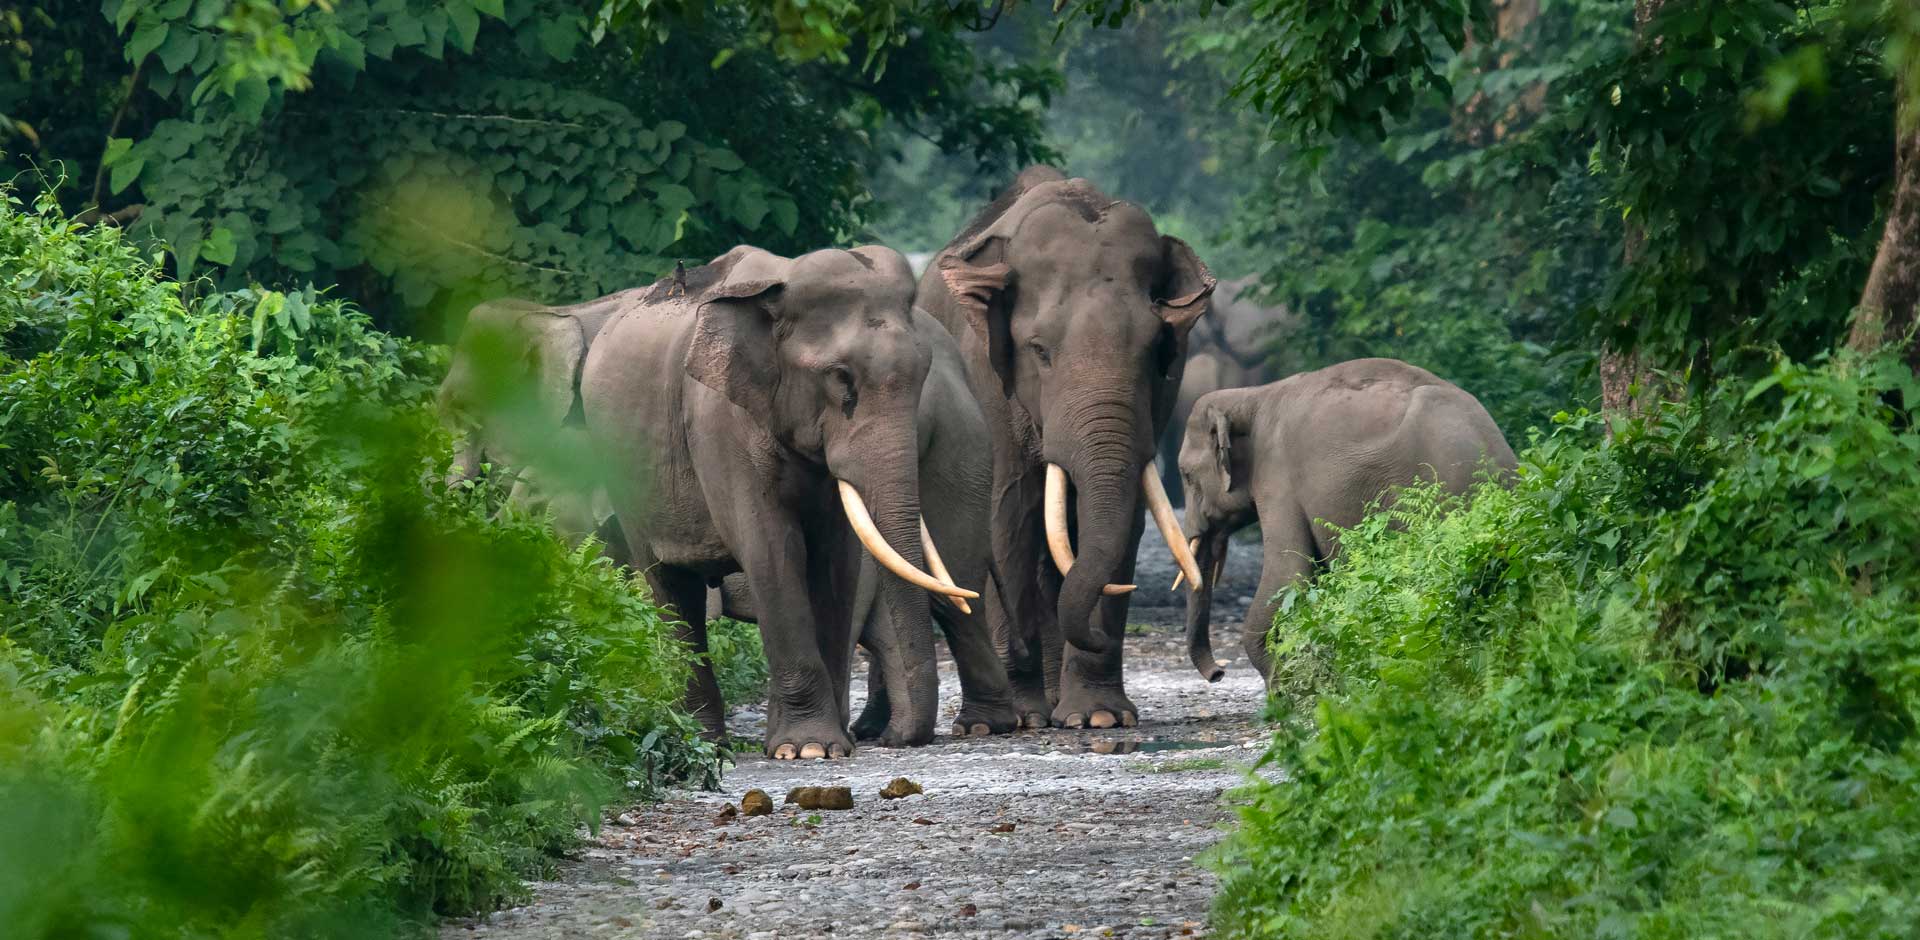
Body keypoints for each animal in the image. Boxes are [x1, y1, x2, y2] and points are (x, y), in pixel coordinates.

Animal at [579, 245, 975, 759]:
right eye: (840, 377)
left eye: (924, 369)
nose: (898, 742)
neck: (777, 288)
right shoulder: (720, 423)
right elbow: (771, 549)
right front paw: (807, 749)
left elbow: (836, 559)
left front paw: (824, 746)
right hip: (624, 479)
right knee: (670, 586)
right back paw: (707, 745)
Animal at [917, 164, 1213, 728]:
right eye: (1039, 350)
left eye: (1155, 349)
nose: (1215, 675)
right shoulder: (986, 378)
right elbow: (1004, 515)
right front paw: (1025, 716)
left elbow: (1126, 518)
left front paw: (1099, 718)